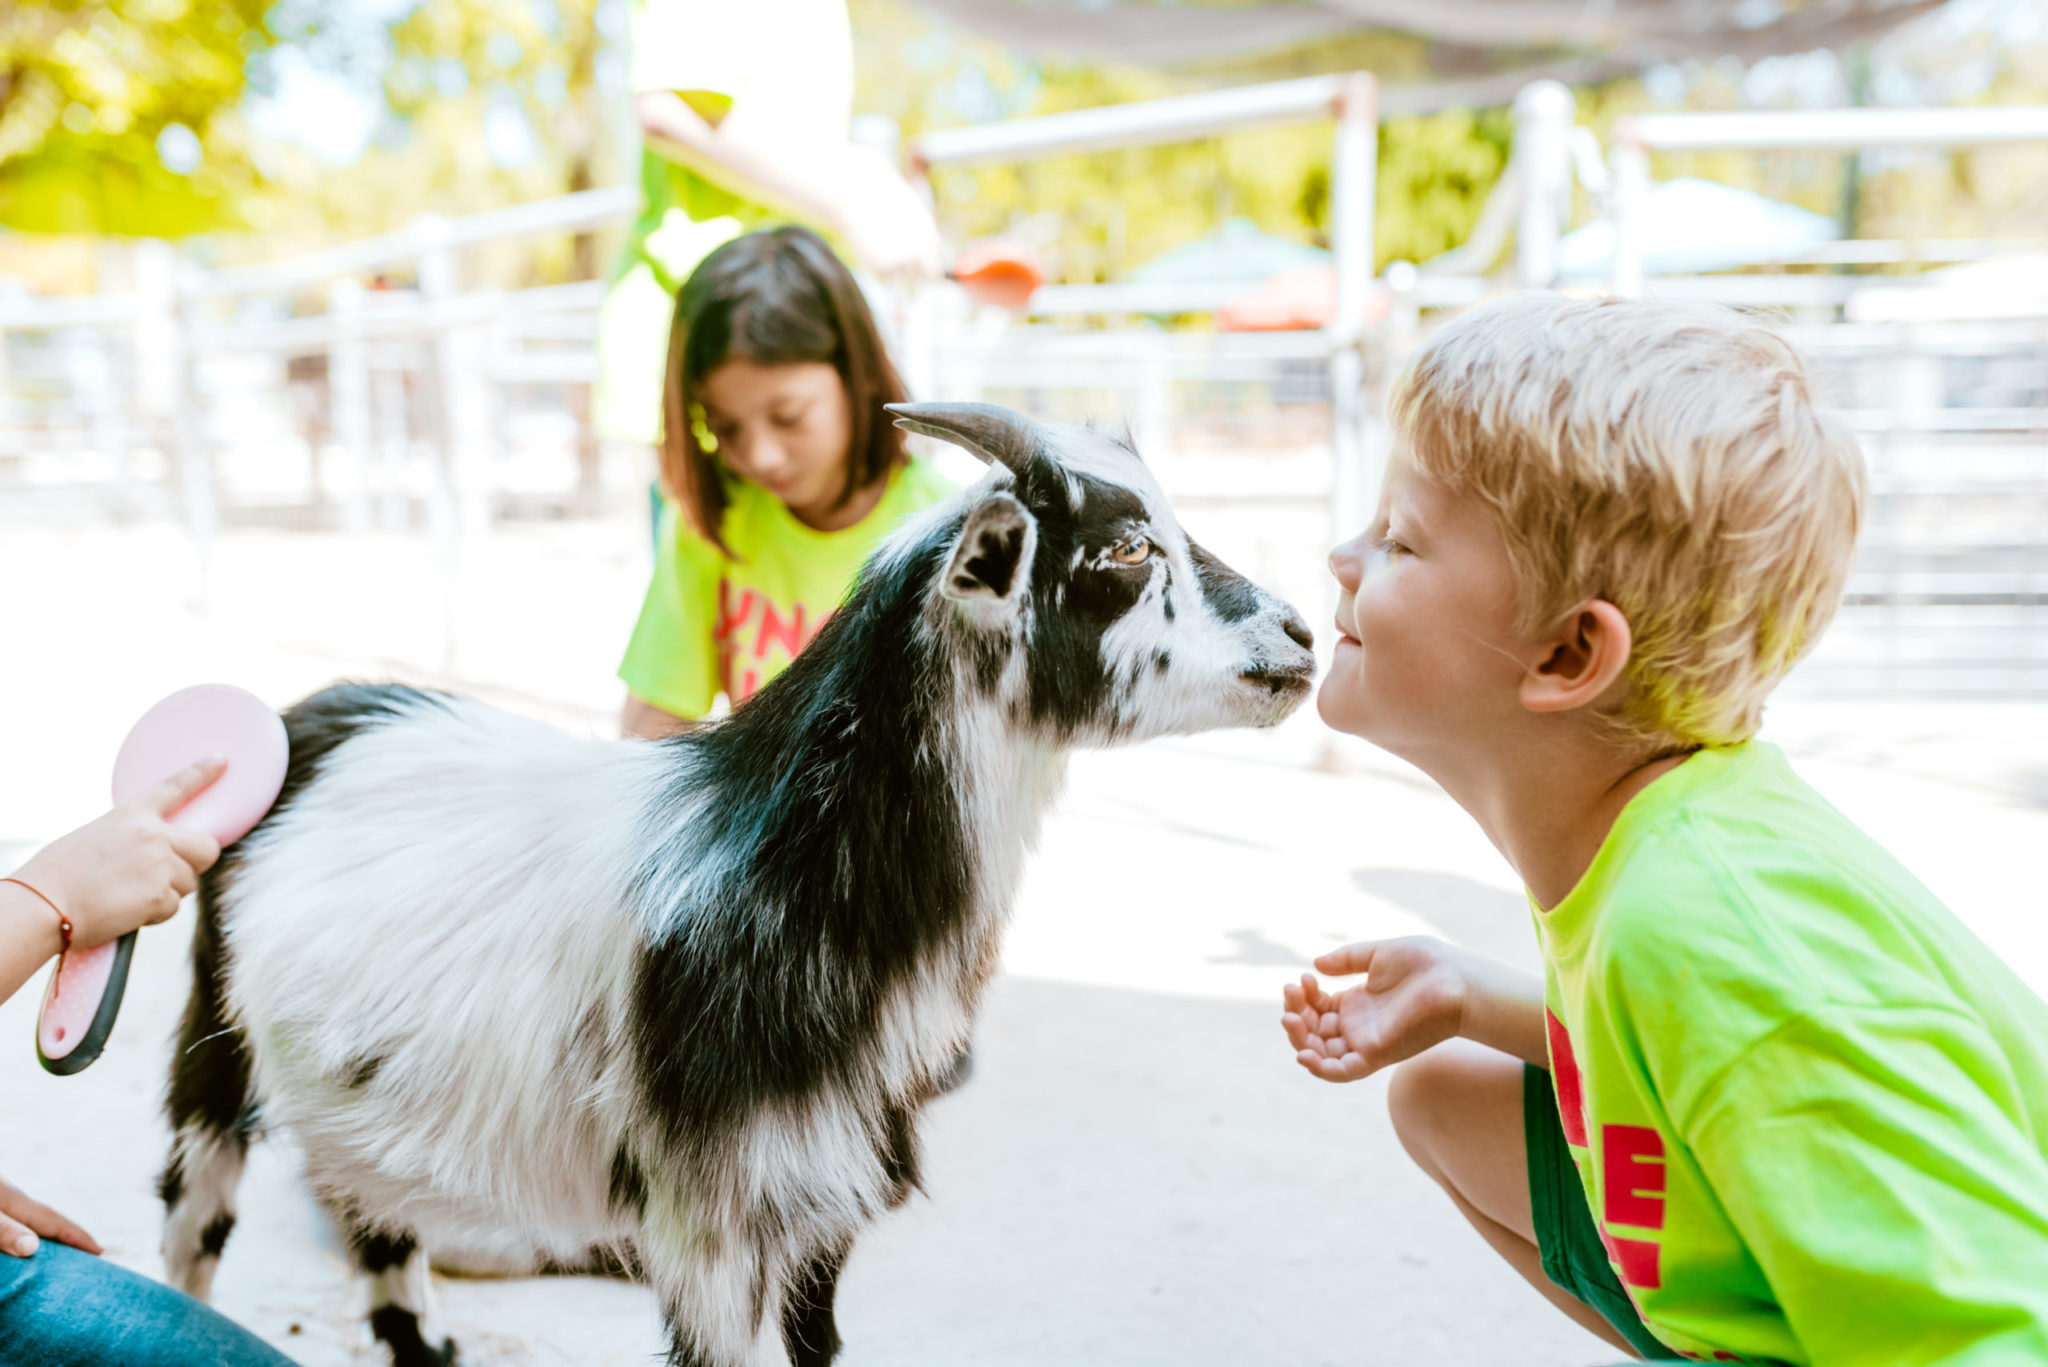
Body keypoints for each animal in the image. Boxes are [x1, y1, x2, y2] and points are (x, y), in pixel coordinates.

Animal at [159, 401, 1310, 1367]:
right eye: (1125, 548)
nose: (1301, 635)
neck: (779, 863)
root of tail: (309, 711)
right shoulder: (707, 1222)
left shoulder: (818, 1203)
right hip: (212, 1045)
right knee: (193, 1220)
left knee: (376, 1231)